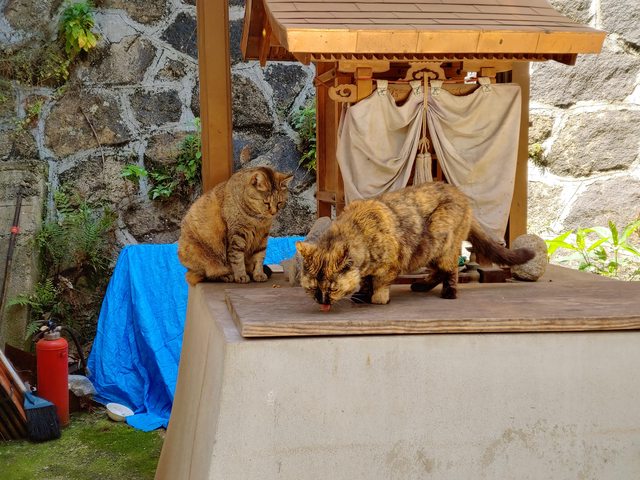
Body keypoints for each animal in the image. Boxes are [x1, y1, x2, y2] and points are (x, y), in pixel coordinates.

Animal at [296, 181, 535, 309]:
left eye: (332, 288)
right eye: (312, 288)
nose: (321, 300)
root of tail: (461, 195)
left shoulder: (391, 264)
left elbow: (380, 283)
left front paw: (378, 299)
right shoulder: (365, 270)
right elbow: (365, 282)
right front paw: (363, 295)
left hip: (441, 242)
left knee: (450, 270)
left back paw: (448, 293)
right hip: (428, 251)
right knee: (439, 271)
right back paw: (420, 286)